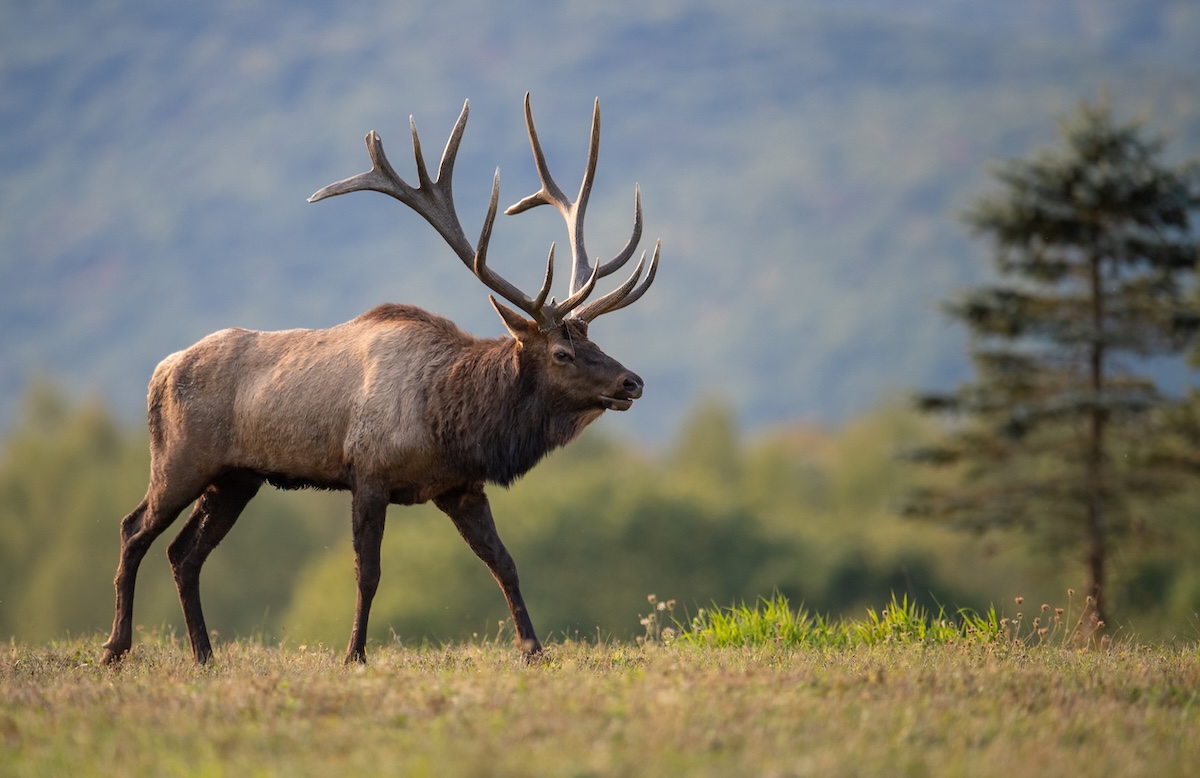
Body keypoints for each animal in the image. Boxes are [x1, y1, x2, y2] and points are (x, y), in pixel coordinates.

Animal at [99, 93, 659, 666]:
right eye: (564, 352)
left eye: (593, 342)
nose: (632, 382)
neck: (451, 417)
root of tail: (161, 371)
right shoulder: (367, 473)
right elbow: (367, 572)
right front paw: (354, 654)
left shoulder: (460, 485)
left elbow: (504, 563)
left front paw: (534, 649)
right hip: (180, 460)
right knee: (133, 529)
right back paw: (116, 646)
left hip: (236, 477)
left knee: (183, 553)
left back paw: (205, 654)